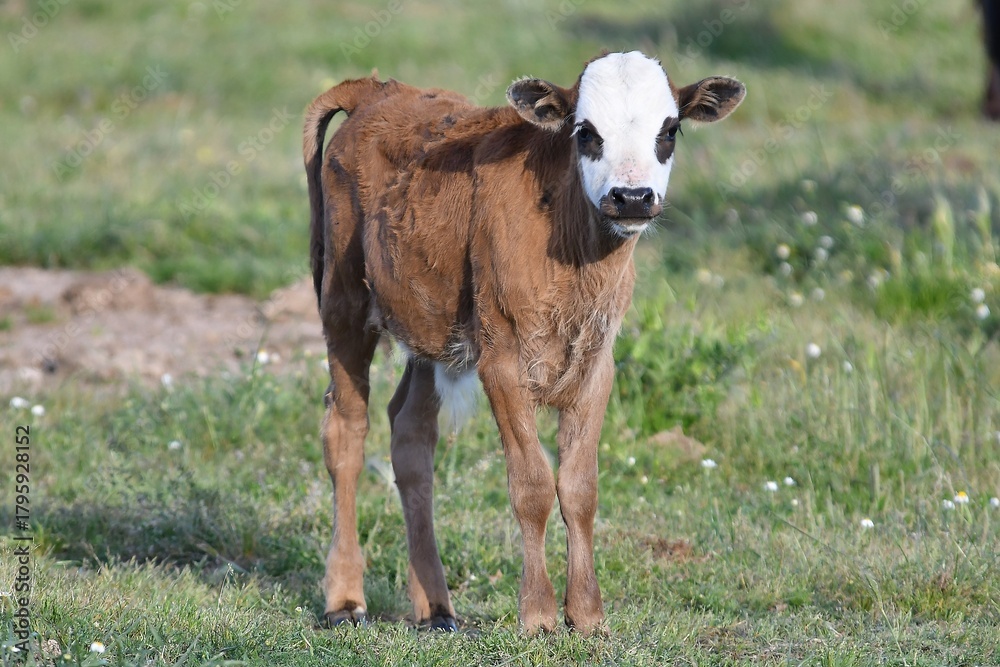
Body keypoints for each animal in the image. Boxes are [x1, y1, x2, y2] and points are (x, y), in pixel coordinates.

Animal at [303, 51, 745, 635]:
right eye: (586, 132)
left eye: (669, 130)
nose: (630, 197)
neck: (573, 254)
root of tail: (377, 90)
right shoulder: (503, 363)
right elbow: (532, 485)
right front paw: (537, 613)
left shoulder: (596, 366)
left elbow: (579, 488)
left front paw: (587, 614)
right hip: (344, 303)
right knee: (346, 432)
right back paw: (345, 598)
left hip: (428, 323)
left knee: (411, 434)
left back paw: (435, 606)